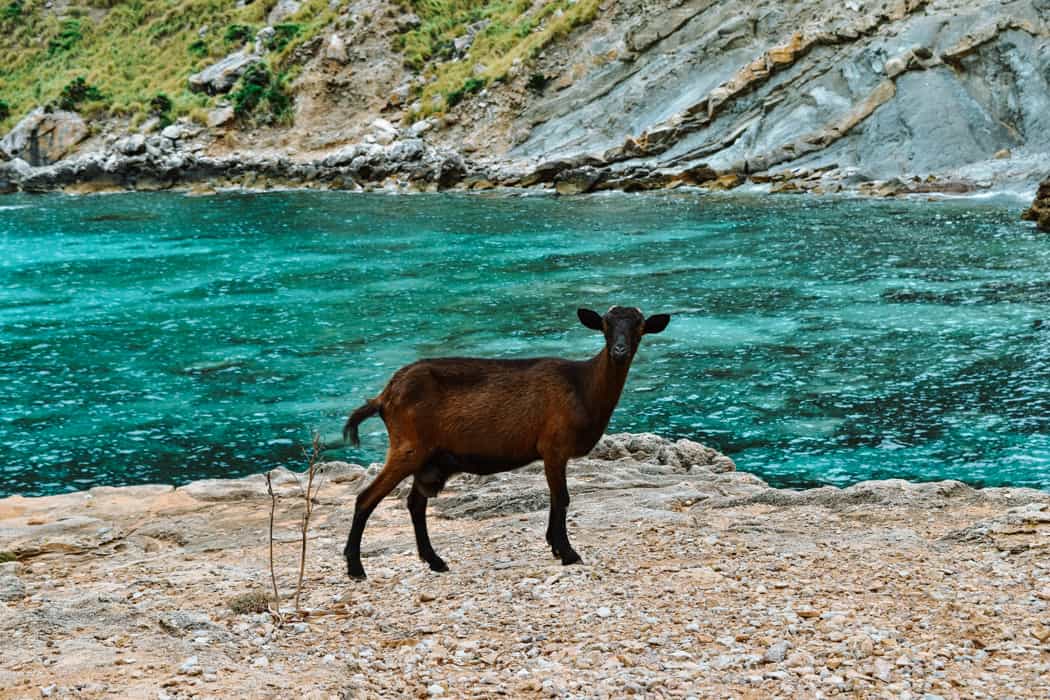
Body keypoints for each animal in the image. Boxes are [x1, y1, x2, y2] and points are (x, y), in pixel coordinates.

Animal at [344, 306, 672, 579]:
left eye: (639, 326)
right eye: (605, 325)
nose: (619, 350)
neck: (582, 386)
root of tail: (384, 397)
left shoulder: (554, 452)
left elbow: (555, 498)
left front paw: (556, 548)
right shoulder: (554, 446)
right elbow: (562, 498)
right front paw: (568, 553)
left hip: (429, 459)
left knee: (415, 504)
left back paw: (435, 561)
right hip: (408, 447)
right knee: (367, 498)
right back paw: (356, 567)